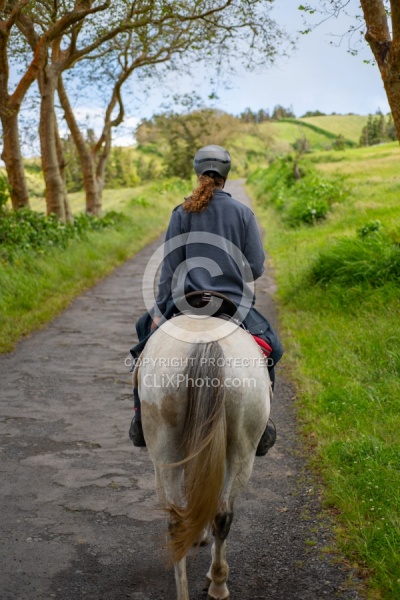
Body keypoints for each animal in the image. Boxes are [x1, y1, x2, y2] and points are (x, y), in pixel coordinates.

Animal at [135, 314, 272, 600]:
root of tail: (205, 343)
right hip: (242, 452)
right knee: (220, 514)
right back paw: (217, 583)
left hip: (166, 454)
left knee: (180, 518)